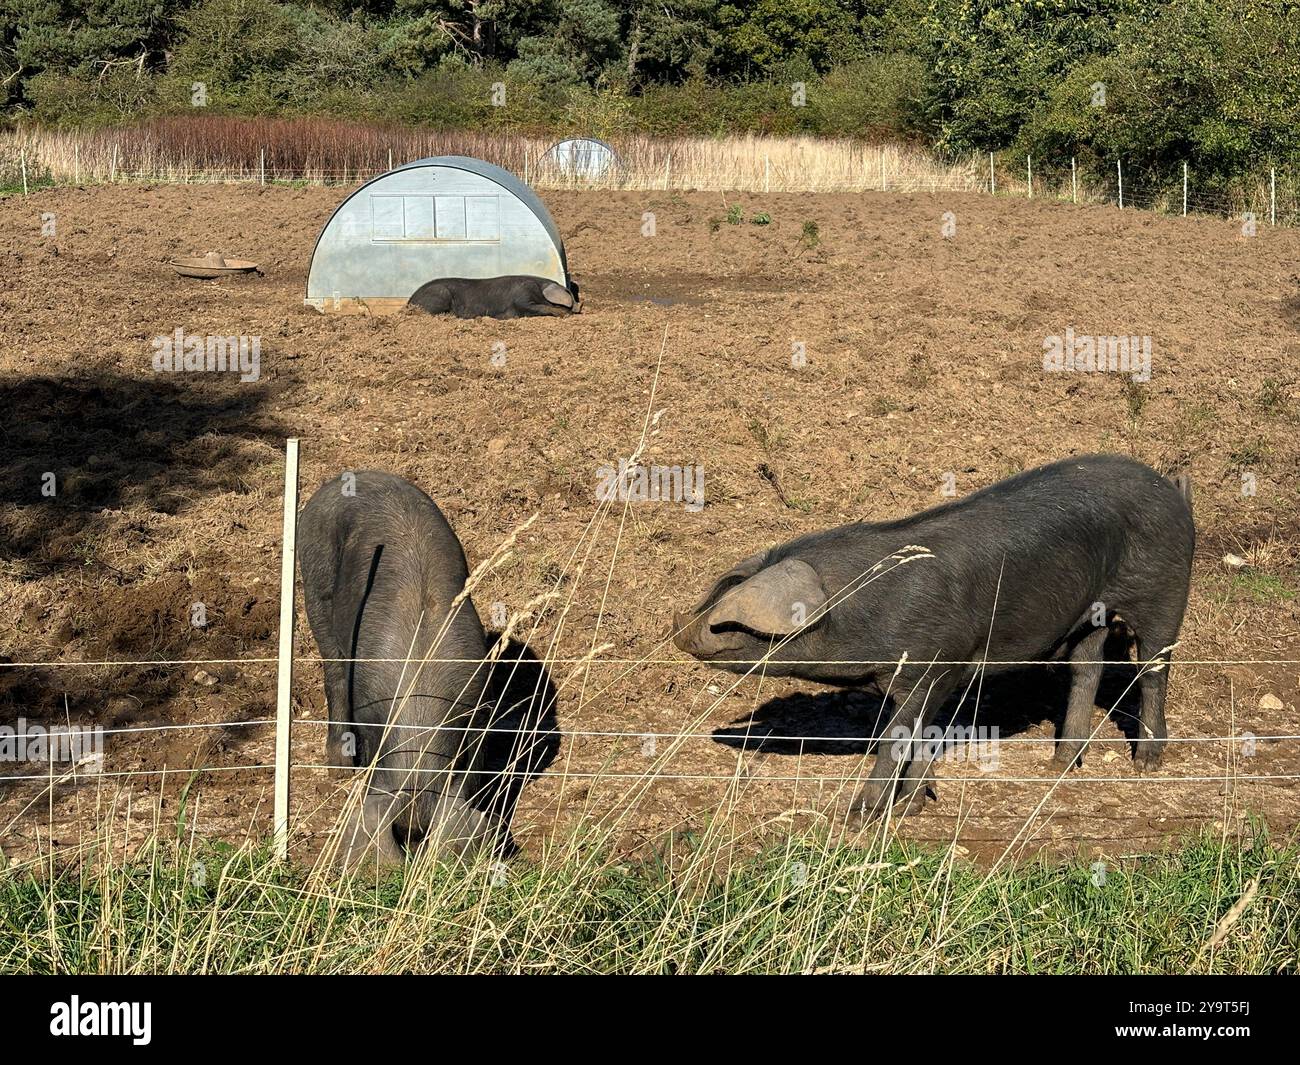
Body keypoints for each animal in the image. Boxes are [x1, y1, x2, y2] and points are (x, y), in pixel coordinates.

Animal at [407, 275, 581, 320]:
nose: (579, 307)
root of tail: (410, 302)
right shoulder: (522, 298)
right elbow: (538, 307)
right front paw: (563, 314)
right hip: (440, 294)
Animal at [673, 455, 1194, 819]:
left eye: (729, 620)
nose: (678, 630)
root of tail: (1171, 489)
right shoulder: (928, 676)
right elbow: (922, 733)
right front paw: (914, 803)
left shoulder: (932, 663)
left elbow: (896, 736)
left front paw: (858, 816)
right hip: (1089, 614)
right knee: (1087, 667)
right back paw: (1061, 764)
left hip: (1164, 588)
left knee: (1154, 668)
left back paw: (1146, 763)